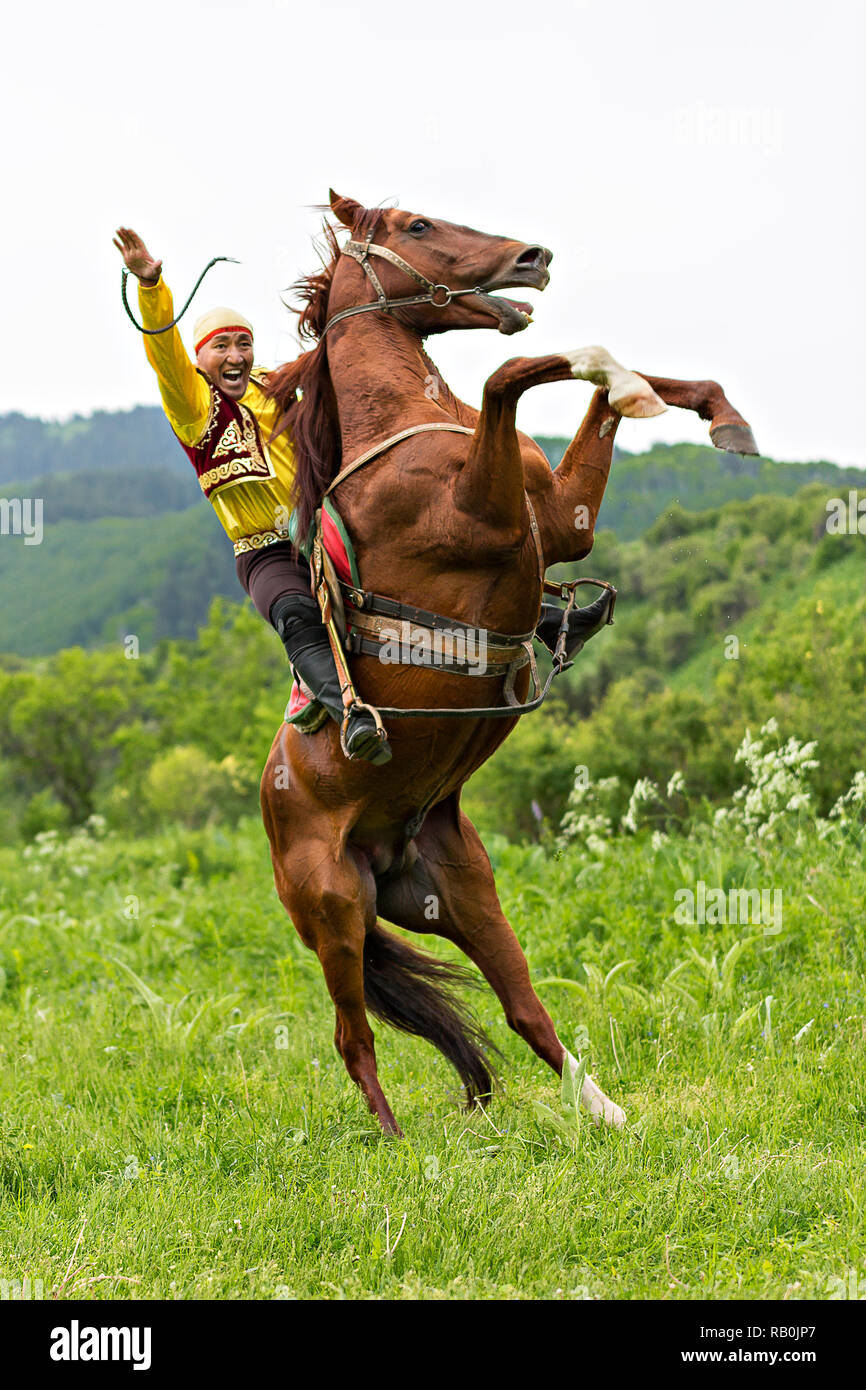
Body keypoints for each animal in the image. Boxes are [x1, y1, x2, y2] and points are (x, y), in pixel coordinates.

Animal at [261, 187, 756, 1139]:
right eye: (417, 226)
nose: (534, 257)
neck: (410, 424)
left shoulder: (559, 523)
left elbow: (571, 389)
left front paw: (710, 409)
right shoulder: (487, 515)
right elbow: (513, 375)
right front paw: (627, 381)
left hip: (463, 892)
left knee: (525, 1010)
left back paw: (607, 1114)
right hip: (335, 911)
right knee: (353, 1038)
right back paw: (396, 1147)